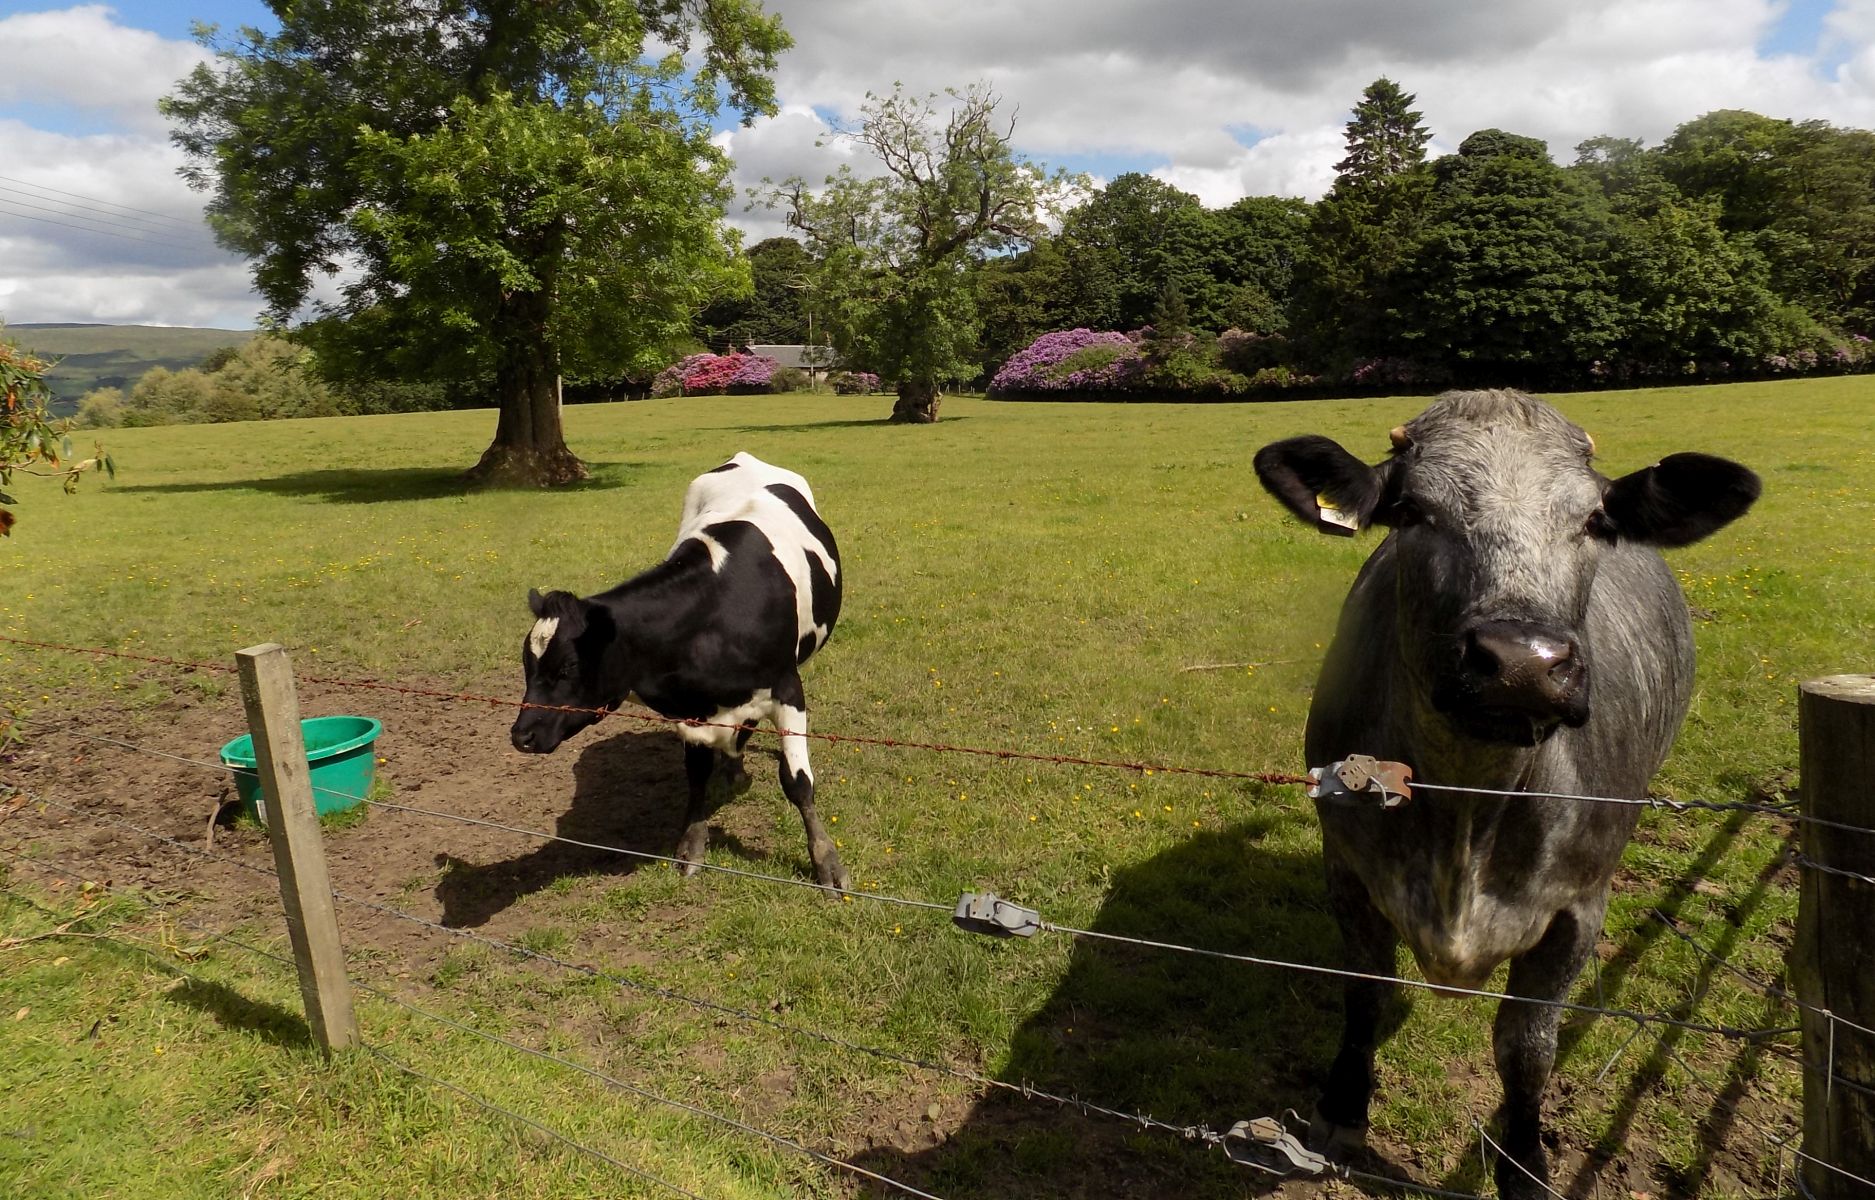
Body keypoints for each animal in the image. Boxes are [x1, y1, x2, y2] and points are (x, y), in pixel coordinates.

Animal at [506, 450, 843, 892]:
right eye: (527, 665)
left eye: (567, 667)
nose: (521, 736)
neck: (714, 615)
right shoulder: (692, 707)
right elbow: (696, 775)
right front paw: (692, 843)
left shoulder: (787, 688)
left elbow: (798, 782)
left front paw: (825, 860)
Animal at [1252, 390, 1762, 1192]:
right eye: (1412, 510)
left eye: (1594, 519)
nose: (1522, 662)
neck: (1465, 810)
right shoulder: (1348, 870)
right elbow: (1364, 992)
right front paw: (1342, 1109)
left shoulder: (1576, 909)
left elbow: (1526, 1048)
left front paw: (1524, 1162)